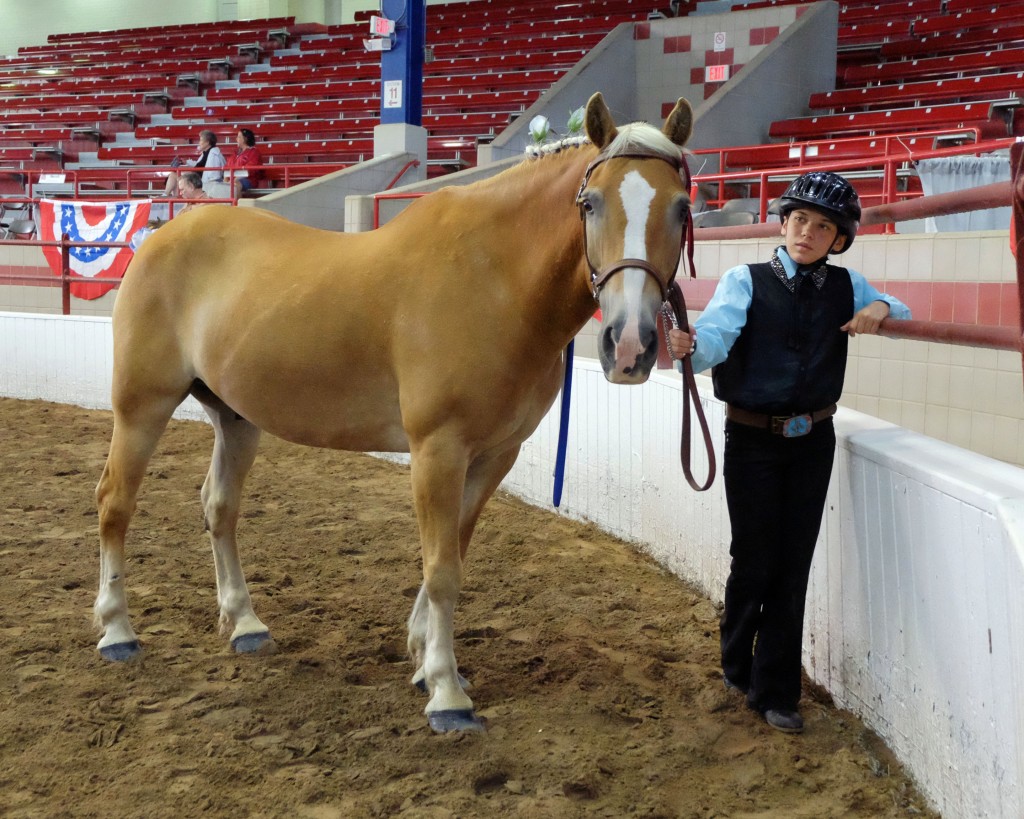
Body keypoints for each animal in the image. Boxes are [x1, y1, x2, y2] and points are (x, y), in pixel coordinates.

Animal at [94, 92, 696, 733]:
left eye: (683, 207)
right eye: (590, 203)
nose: (629, 345)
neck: (493, 277)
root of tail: (164, 233)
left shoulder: (493, 455)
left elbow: (453, 550)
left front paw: (426, 658)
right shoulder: (437, 449)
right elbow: (442, 568)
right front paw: (446, 693)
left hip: (236, 419)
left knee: (219, 508)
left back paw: (246, 624)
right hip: (141, 406)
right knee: (115, 503)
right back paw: (117, 631)